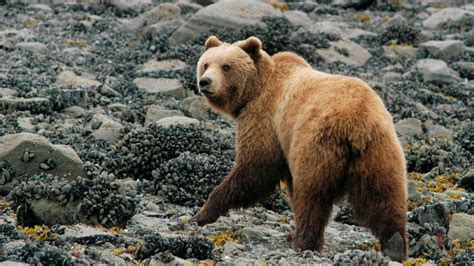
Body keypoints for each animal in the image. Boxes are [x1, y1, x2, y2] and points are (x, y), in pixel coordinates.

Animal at [193, 35, 408, 262]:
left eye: (226, 66)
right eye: (206, 64)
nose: (205, 82)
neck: (256, 89)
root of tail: (356, 120)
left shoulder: (266, 121)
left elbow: (254, 168)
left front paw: (204, 212)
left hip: (316, 143)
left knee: (312, 195)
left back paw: (305, 242)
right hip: (380, 149)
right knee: (385, 194)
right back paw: (395, 242)